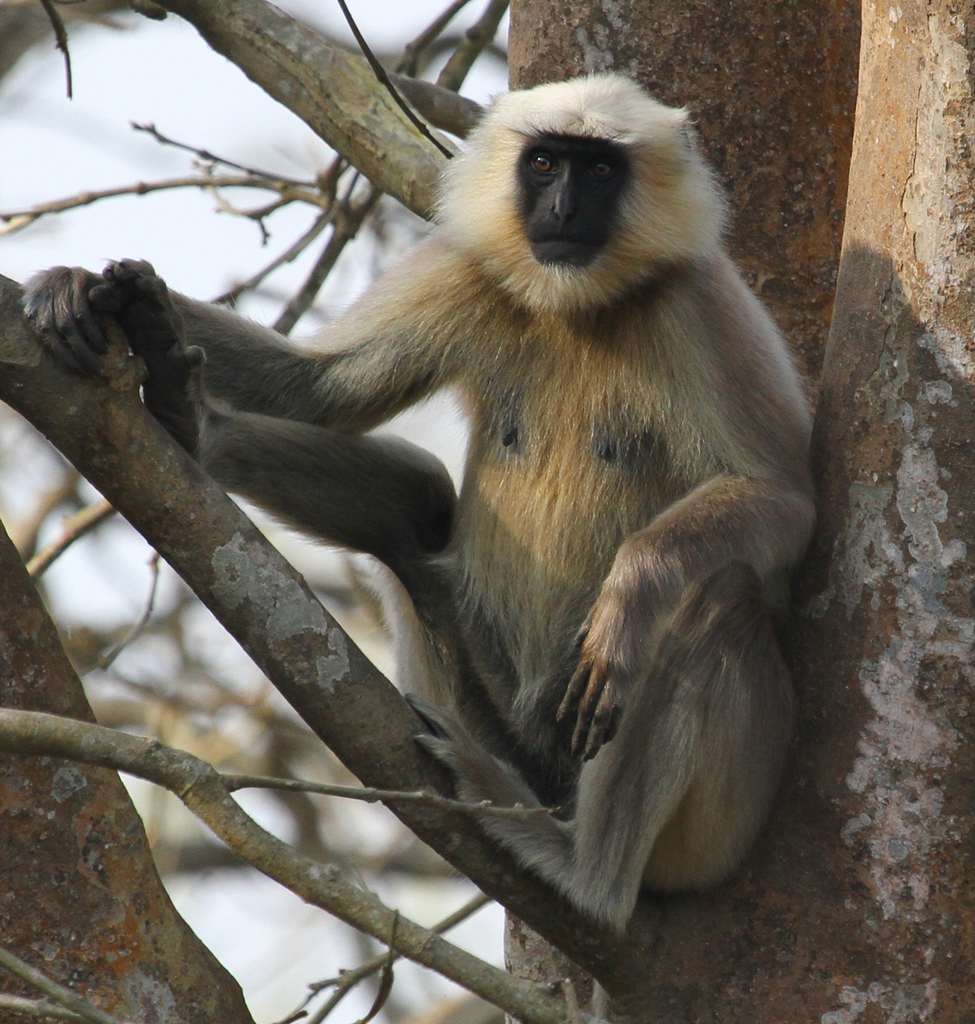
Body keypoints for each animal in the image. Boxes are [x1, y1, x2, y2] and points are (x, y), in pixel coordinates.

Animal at [24, 75, 815, 933]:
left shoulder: (700, 298)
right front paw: (85, 288)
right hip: (484, 697)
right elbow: (316, 389)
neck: (577, 305)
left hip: (711, 823)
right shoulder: (467, 270)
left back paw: (583, 871)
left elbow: (781, 499)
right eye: (545, 163)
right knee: (419, 506)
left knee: (713, 598)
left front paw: (629, 594)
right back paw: (187, 421)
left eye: (600, 171)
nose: (563, 207)